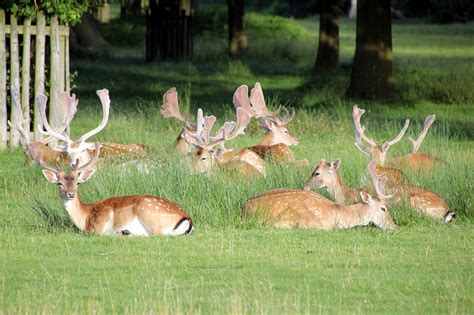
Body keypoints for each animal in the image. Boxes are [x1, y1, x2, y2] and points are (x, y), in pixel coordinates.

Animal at [33, 143, 193, 237]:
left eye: (78, 183)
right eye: (59, 183)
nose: (70, 194)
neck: (85, 218)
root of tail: (187, 218)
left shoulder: (100, 226)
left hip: (149, 214)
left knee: (156, 234)